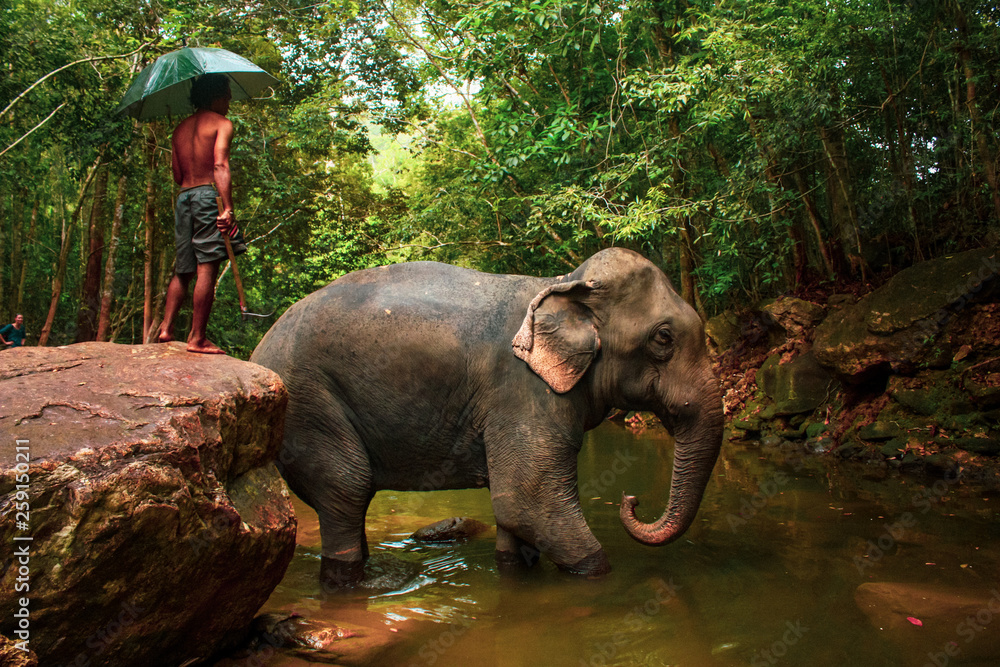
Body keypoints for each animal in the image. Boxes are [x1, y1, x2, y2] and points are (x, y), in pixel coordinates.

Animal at [250, 247, 724, 586]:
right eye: (663, 338)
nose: (632, 499)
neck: (563, 283)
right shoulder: (520, 392)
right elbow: (529, 503)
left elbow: (514, 517)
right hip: (309, 406)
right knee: (347, 489)